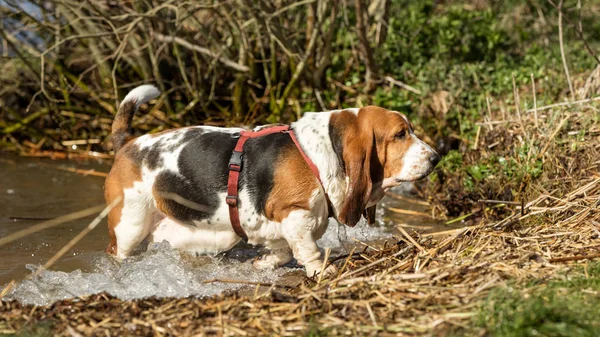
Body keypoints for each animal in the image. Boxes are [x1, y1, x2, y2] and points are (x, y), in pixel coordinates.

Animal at [104, 84, 440, 276]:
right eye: (400, 134)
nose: (436, 157)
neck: (324, 149)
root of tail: (127, 143)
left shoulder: (268, 222)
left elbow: (283, 250)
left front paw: (264, 264)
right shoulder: (294, 214)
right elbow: (309, 249)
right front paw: (323, 271)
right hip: (129, 227)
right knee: (118, 251)